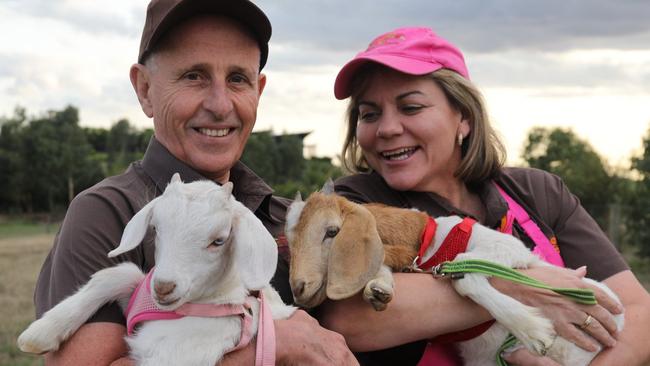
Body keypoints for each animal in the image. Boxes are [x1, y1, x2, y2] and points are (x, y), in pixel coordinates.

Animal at [17, 175, 294, 366]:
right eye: (156, 229)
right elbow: (118, 275)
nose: (163, 287)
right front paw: (41, 332)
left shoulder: (172, 354)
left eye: (219, 241)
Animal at [286, 184, 620, 366]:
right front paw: (379, 289)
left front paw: (534, 331)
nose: (298, 287)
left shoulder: (507, 248)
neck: (428, 243)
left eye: (332, 231)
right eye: (290, 239)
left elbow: (465, 272)